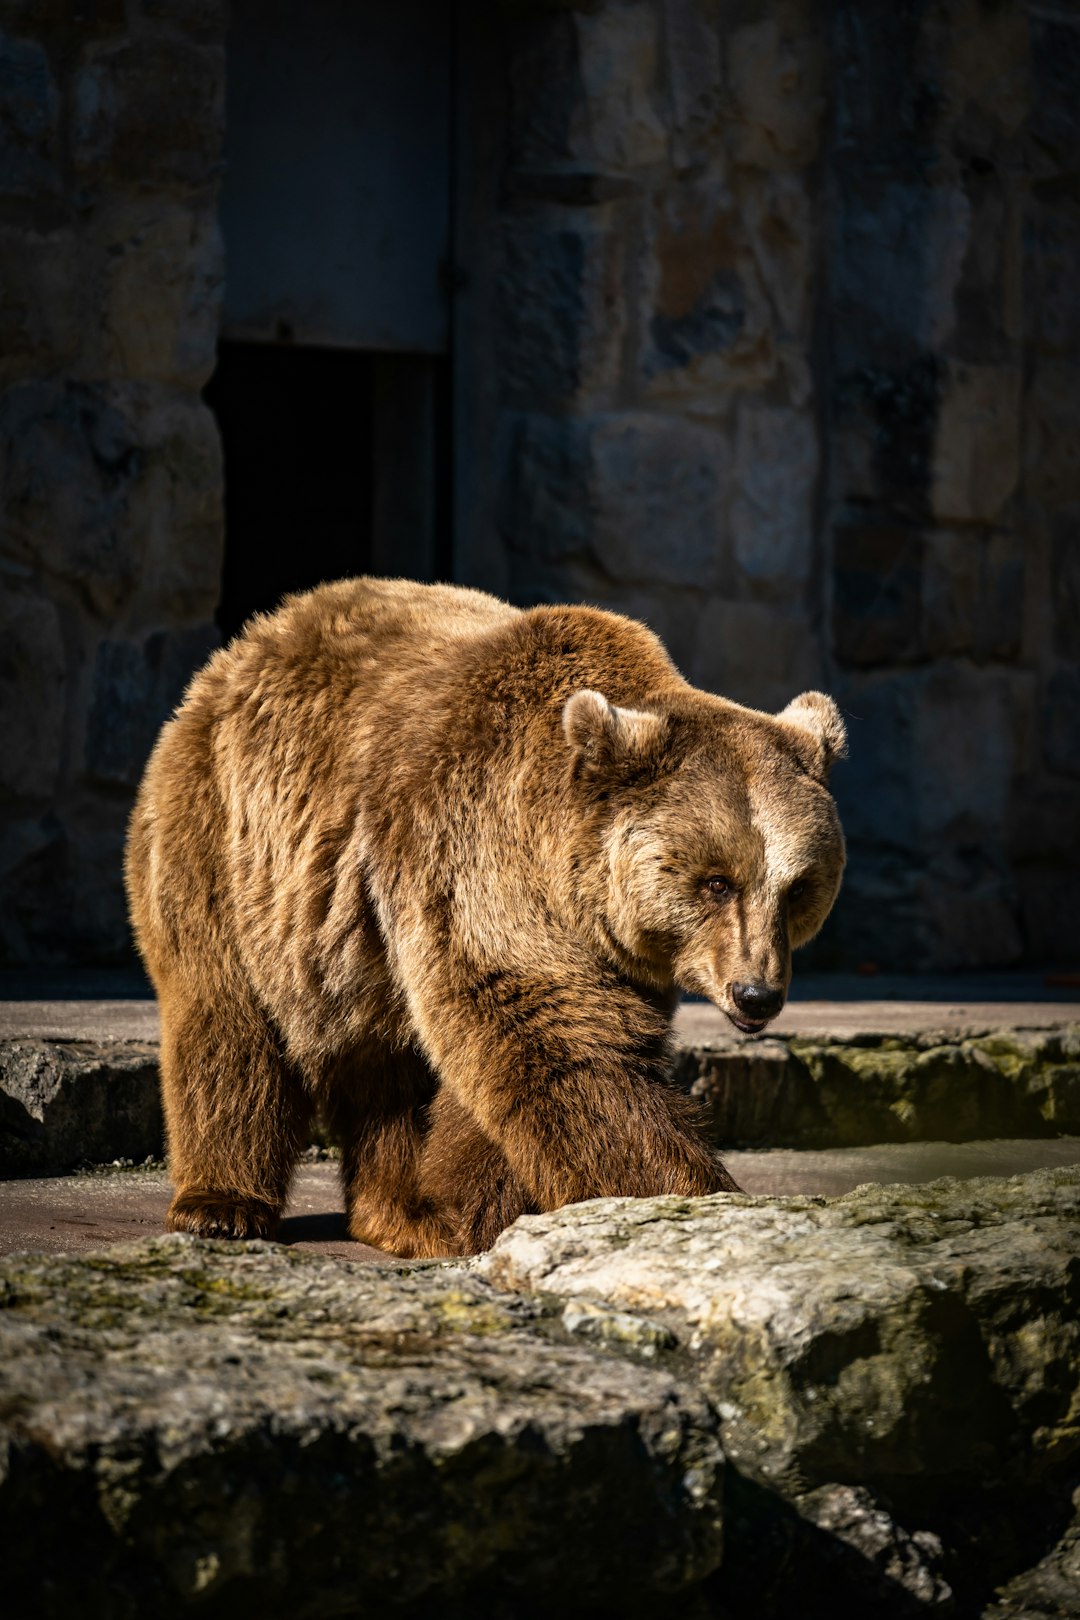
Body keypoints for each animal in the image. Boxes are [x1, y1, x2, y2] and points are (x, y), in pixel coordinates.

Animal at [127, 576, 848, 1257]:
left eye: (798, 888)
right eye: (717, 881)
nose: (755, 994)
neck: (569, 872)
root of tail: (256, 637)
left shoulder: (609, 947)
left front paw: (467, 1208)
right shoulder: (477, 846)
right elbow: (552, 1036)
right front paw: (687, 1195)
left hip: (357, 937)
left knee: (387, 1064)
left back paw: (396, 1209)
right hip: (231, 835)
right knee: (228, 1018)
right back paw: (221, 1204)